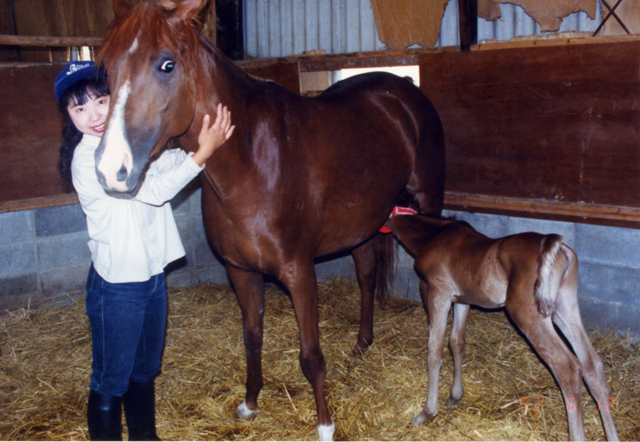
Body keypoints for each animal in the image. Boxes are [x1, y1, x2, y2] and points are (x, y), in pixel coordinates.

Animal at [96, 0, 444, 438]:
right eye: (107, 68)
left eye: (166, 64)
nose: (111, 170)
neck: (253, 162)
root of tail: (403, 87)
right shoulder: (241, 271)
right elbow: (252, 337)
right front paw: (250, 404)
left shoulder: (299, 273)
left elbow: (311, 356)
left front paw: (325, 426)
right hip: (362, 227)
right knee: (366, 276)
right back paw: (362, 345)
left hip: (429, 206)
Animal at [388, 213, 616, 438]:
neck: (434, 235)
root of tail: (554, 244)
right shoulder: (462, 300)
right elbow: (456, 342)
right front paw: (455, 396)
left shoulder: (438, 293)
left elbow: (434, 351)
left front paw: (426, 413)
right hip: (565, 309)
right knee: (592, 367)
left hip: (529, 315)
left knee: (568, 368)